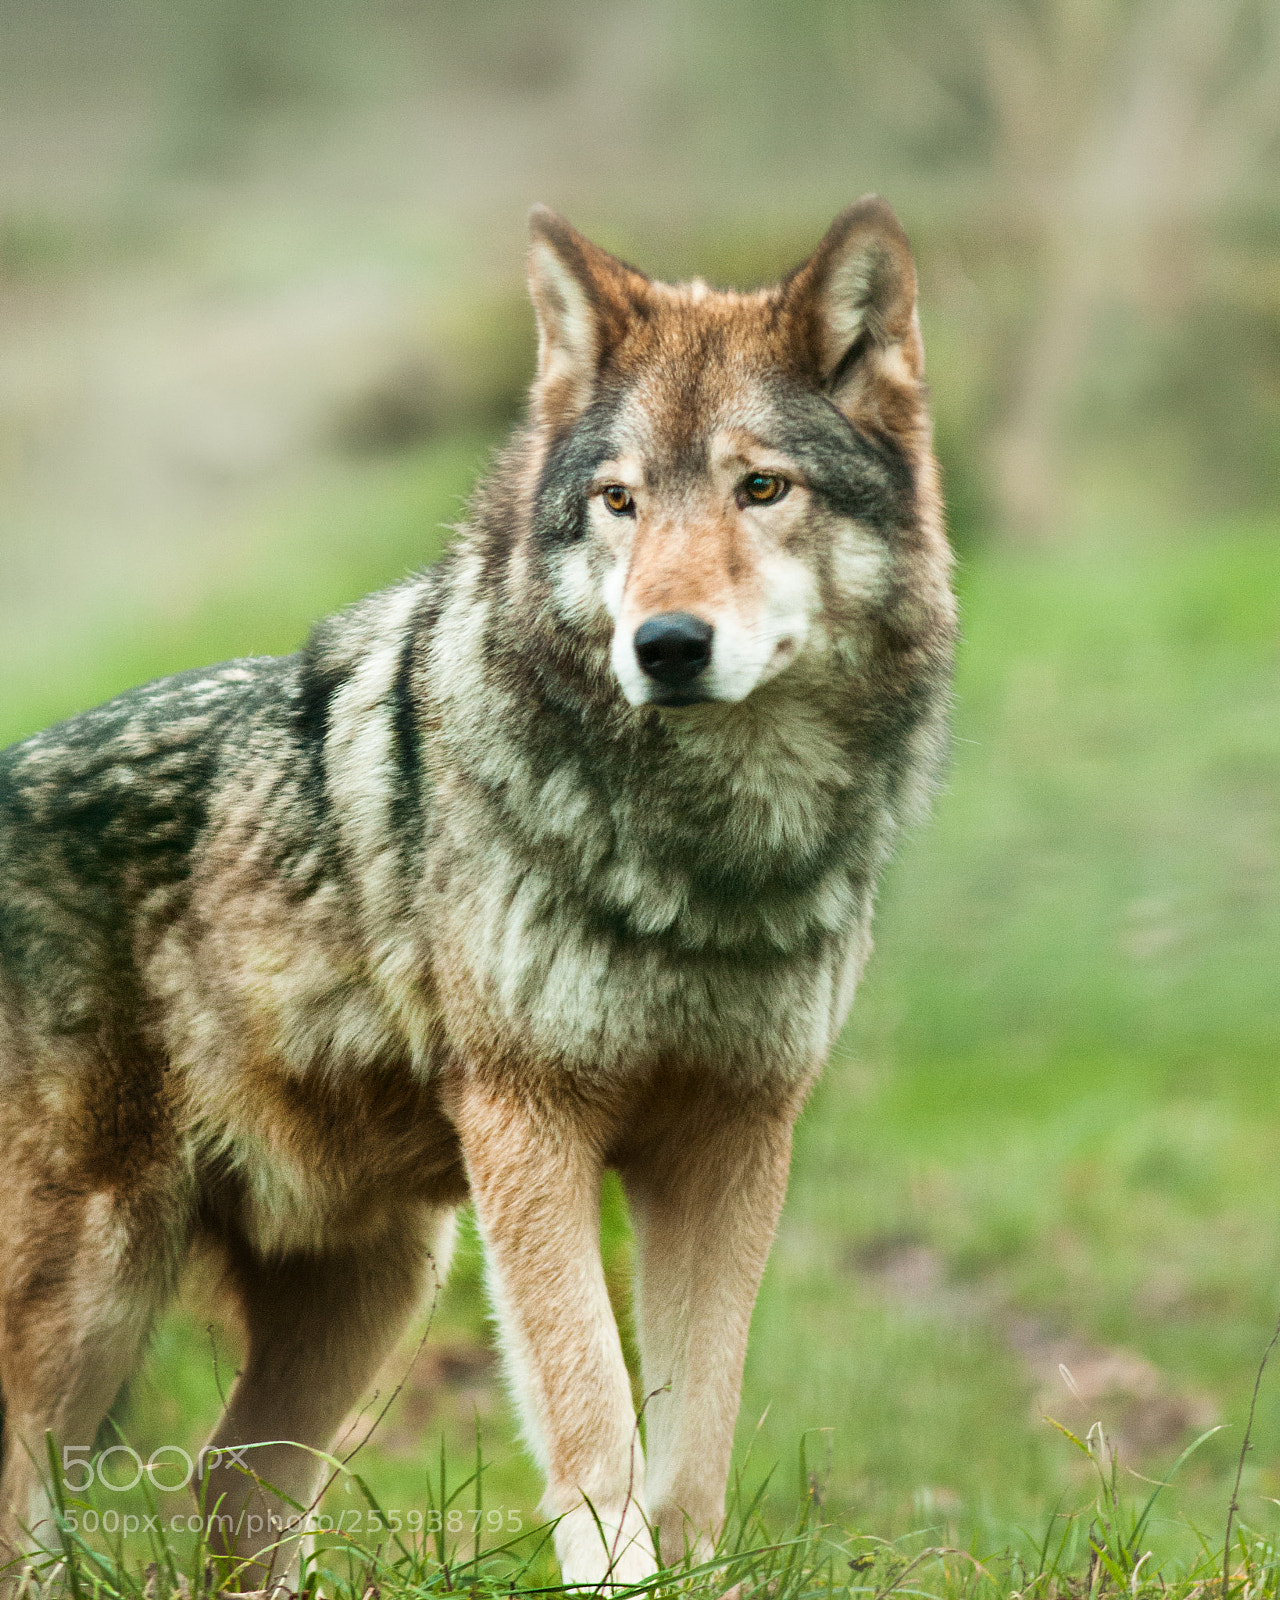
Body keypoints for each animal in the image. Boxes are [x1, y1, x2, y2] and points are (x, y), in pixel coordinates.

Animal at [0, 197, 955, 1588]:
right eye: (618, 501)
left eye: (760, 487)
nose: (665, 646)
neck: (707, 861)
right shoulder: (528, 1124)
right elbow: (593, 1414)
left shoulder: (730, 1141)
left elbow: (695, 1448)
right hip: (96, 1289)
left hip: (374, 1281)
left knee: (228, 1489)